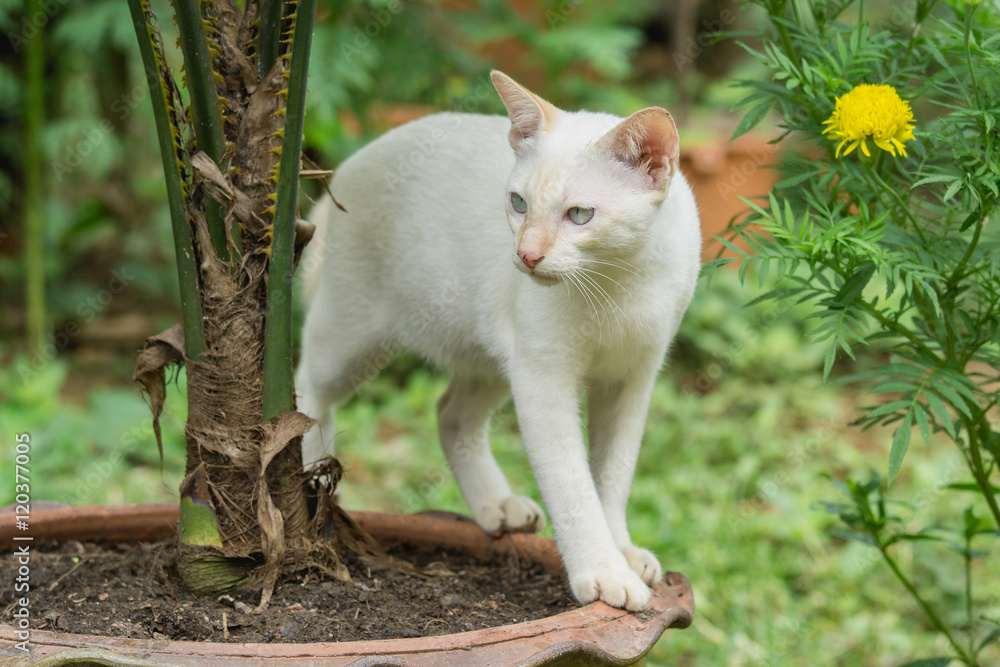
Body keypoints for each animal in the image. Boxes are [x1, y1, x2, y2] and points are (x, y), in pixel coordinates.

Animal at [300, 72, 700, 612]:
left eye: (580, 214)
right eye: (518, 203)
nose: (526, 256)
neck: (619, 284)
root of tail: (347, 165)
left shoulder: (632, 381)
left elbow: (613, 477)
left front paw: (623, 550)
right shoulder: (543, 380)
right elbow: (575, 489)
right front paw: (603, 572)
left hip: (491, 356)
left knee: (451, 416)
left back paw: (496, 505)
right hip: (350, 336)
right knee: (306, 390)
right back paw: (310, 480)